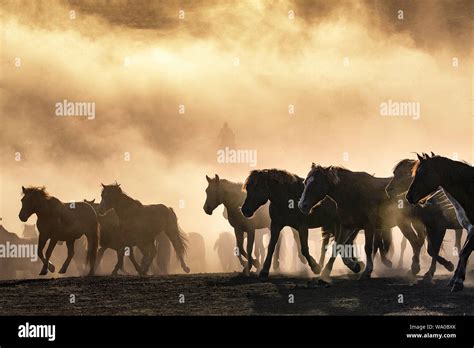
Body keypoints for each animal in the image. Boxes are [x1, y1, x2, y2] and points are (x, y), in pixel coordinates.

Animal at [406, 154, 472, 292]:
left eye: (424, 173)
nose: (408, 196)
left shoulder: (440, 227)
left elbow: (462, 251)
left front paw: (455, 279)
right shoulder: (431, 227)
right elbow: (432, 249)